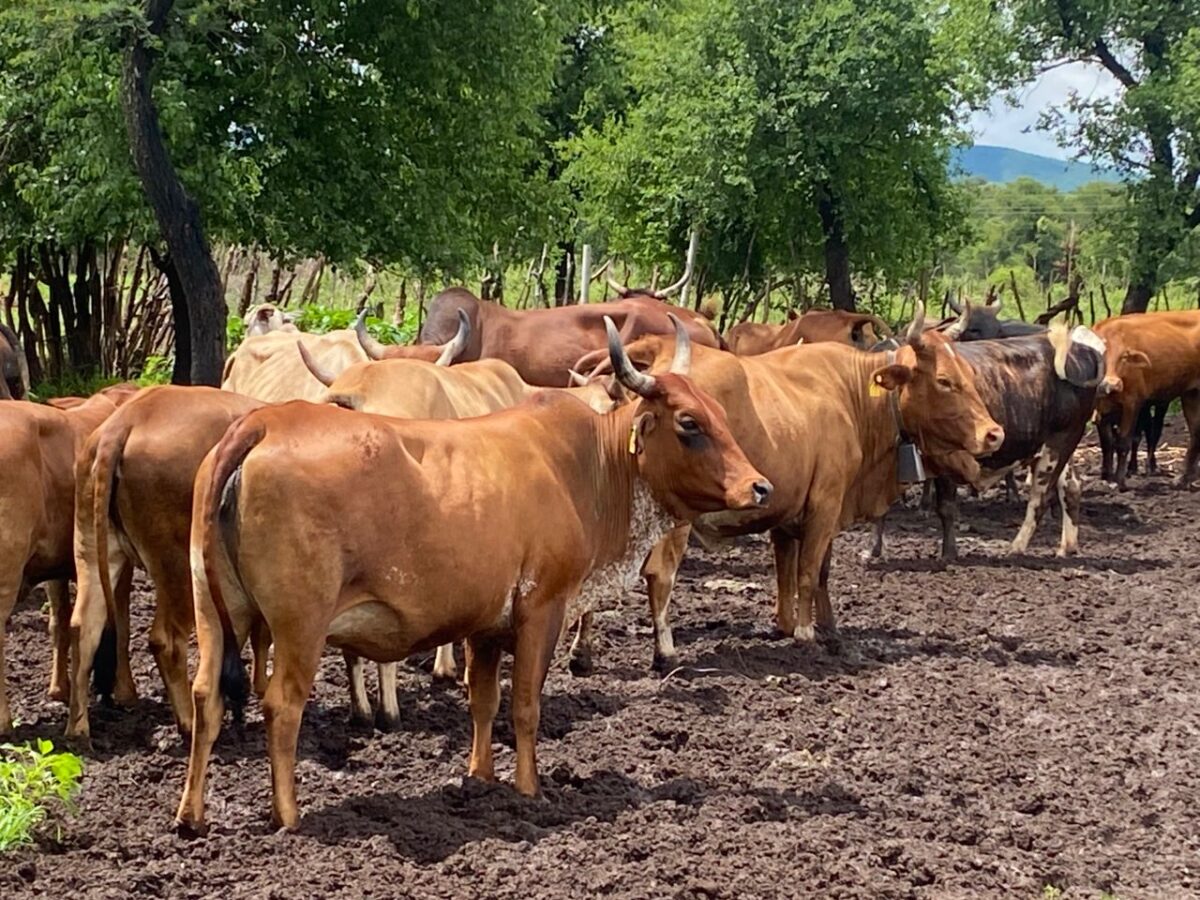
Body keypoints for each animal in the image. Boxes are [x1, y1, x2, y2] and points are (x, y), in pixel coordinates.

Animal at [174, 319, 771, 832]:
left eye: (718, 412)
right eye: (688, 423)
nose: (759, 487)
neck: (586, 466)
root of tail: (264, 423)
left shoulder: (486, 625)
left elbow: (483, 701)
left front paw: (479, 779)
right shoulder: (541, 610)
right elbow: (525, 706)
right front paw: (529, 790)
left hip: (213, 610)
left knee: (207, 696)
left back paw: (191, 815)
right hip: (301, 626)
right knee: (282, 705)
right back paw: (288, 815)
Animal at [1093, 310, 1200, 489]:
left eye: (1124, 357)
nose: (1112, 384)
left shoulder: (1132, 404)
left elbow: (1123, 442)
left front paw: (1120, 481)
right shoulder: (1101, 410)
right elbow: (1107, 444)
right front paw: (1107, 477)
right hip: (1191, 394)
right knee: (1196, 432)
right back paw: (1184, 479)